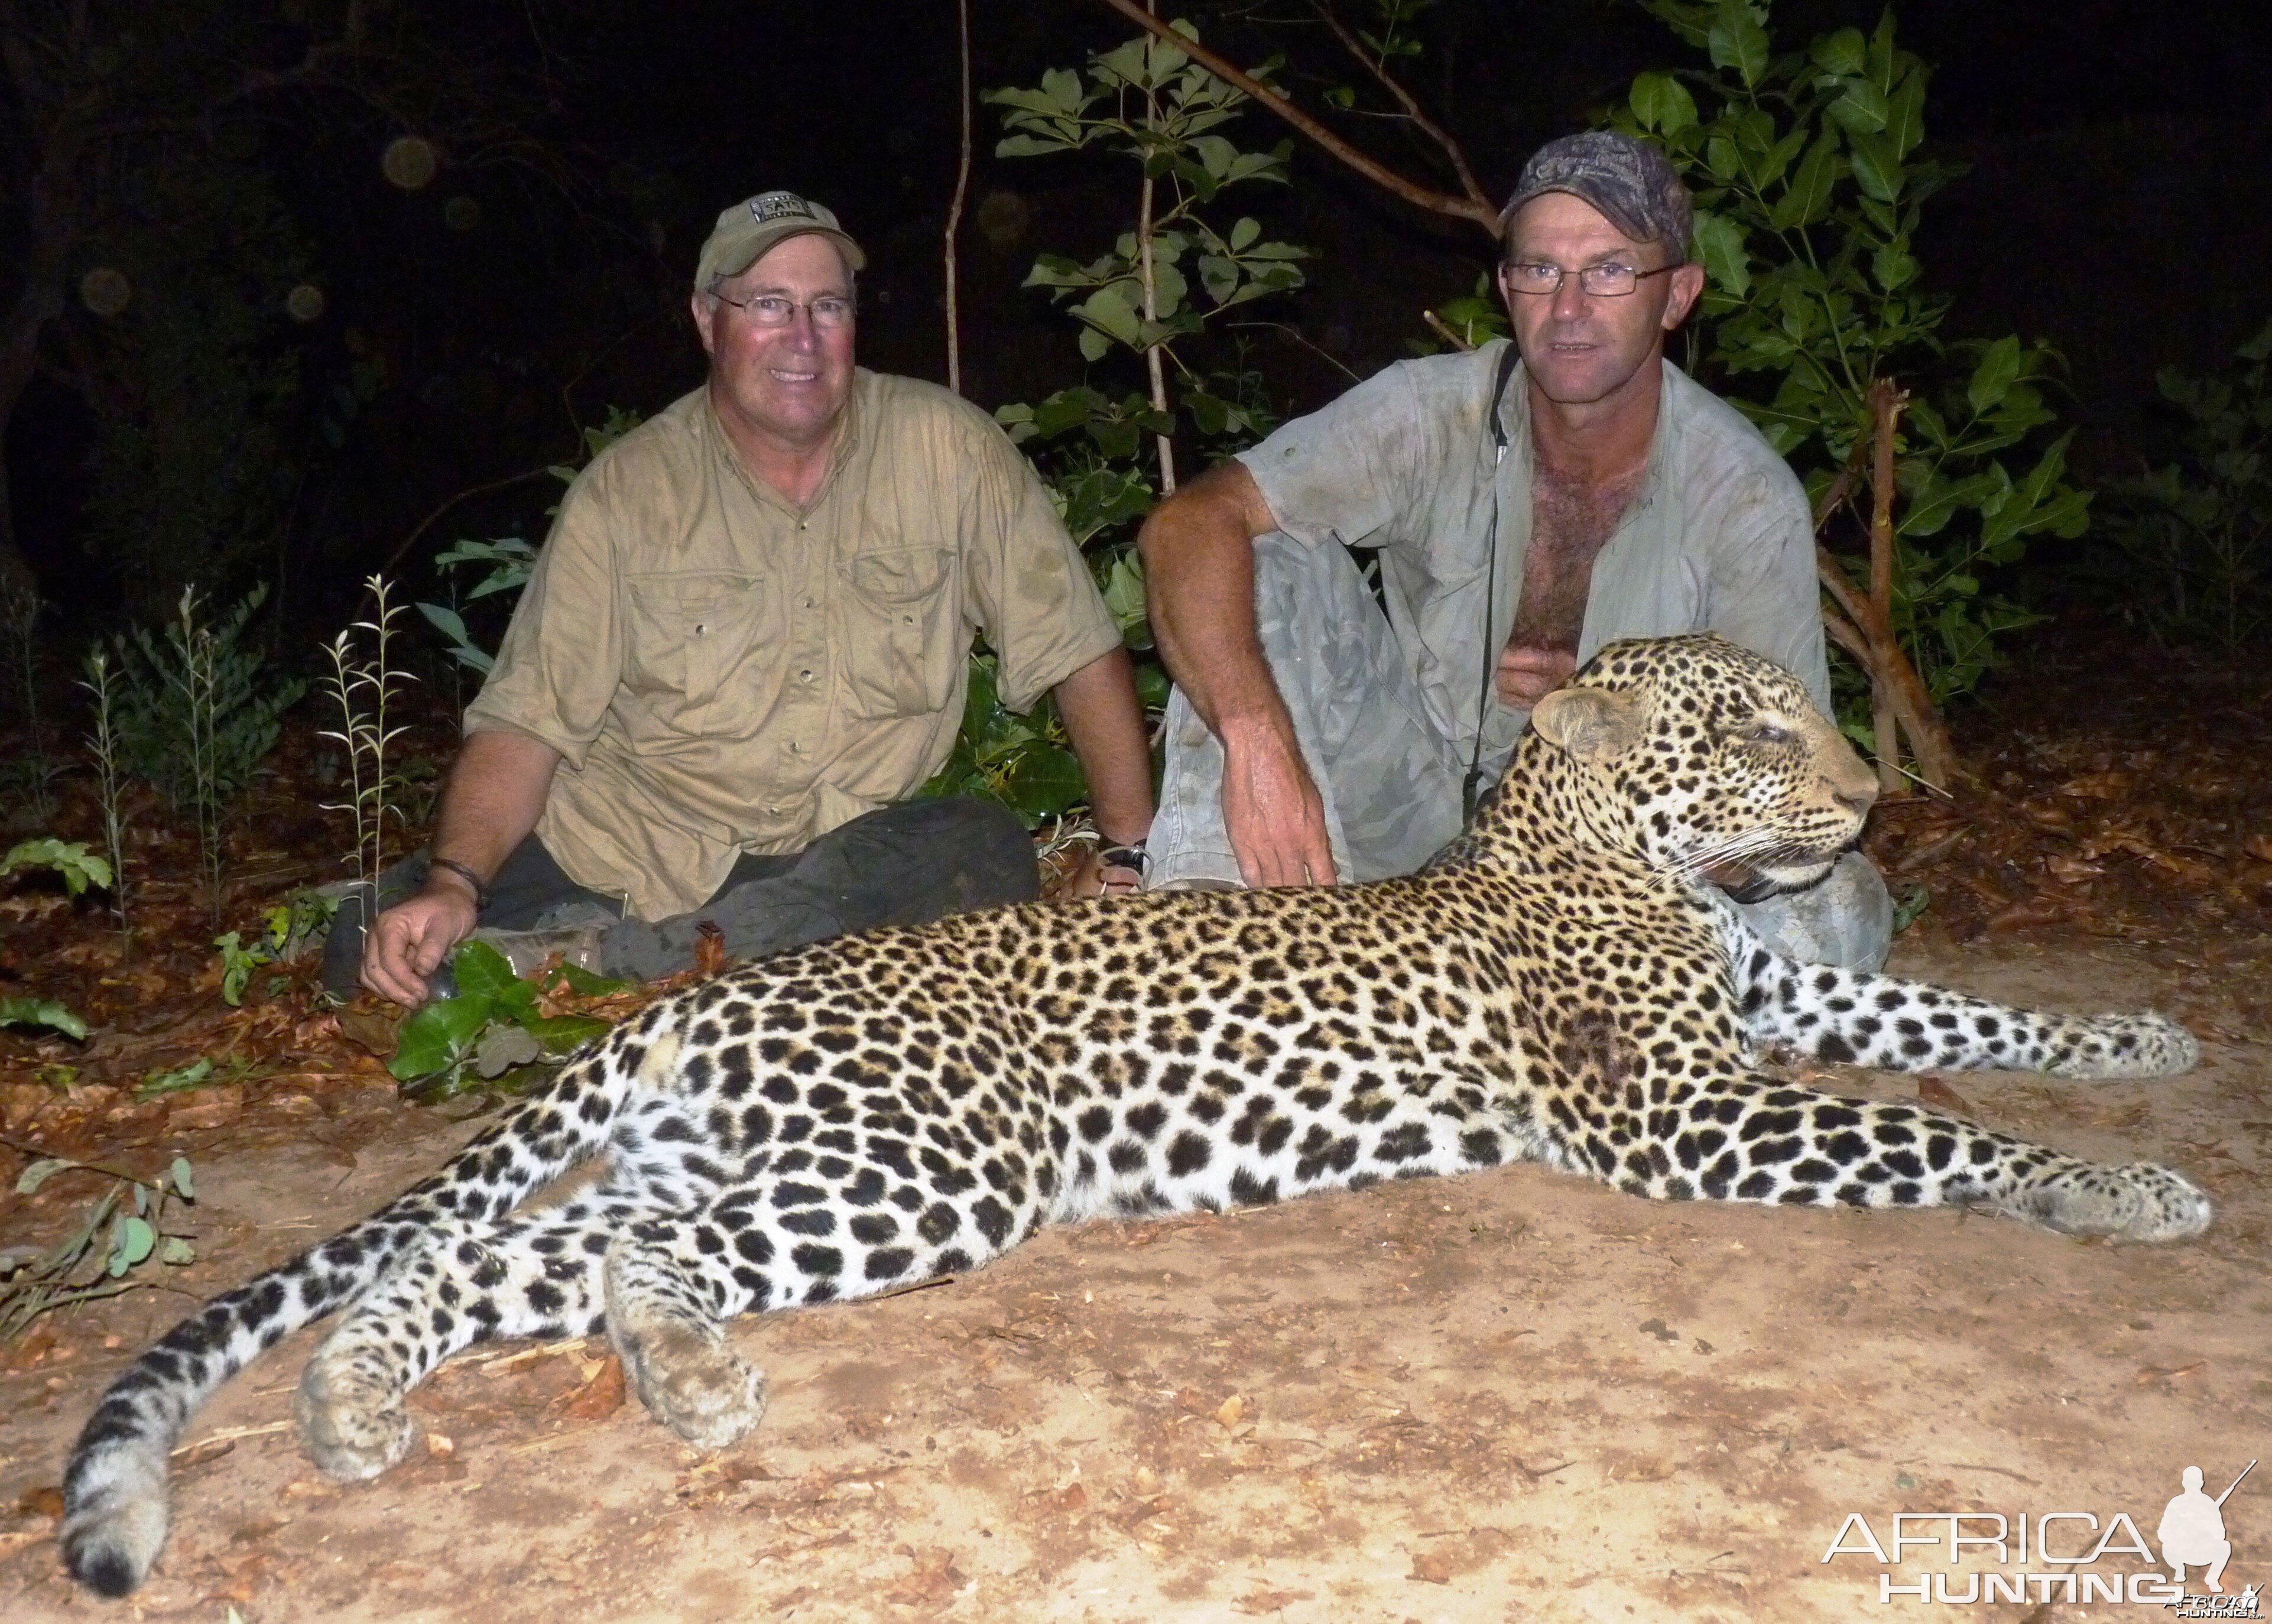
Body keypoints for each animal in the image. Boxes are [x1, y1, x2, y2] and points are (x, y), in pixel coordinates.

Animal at [53, 636, 2208, 1599]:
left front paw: (2144, 1039)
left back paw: (361, 1404)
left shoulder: (1782, 1007)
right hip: (927, 1164)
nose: (1860, 794)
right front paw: (2124, 1188)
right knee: (617, 1256)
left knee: (483, 1257)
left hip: (760, 1159)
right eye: (1752, 726)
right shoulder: (1695, 1112)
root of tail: (700, 991)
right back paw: (663, 1375)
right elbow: (1929, 1123)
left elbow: (1961, 1015)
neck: (1633, 868)